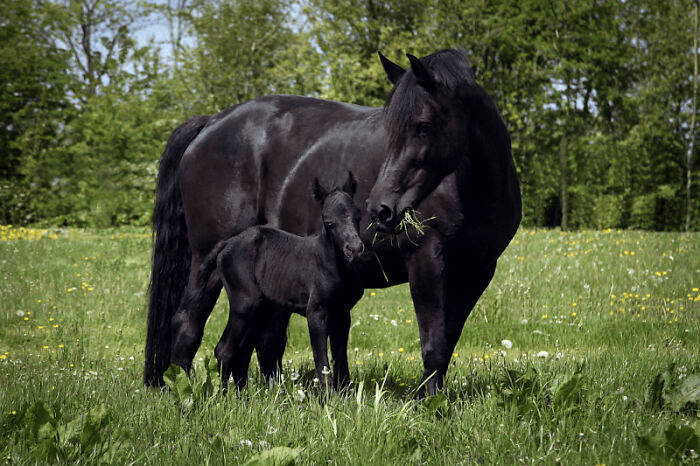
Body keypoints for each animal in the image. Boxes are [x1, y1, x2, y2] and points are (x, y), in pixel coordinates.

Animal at [193, 173, 366, 392]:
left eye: (358, 216)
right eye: (328, 222)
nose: (355, 249)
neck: (334, 265)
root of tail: (226, 244)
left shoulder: (342, 313)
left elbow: (340, 357)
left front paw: (345, 394)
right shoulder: (316, 312)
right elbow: (321, 358)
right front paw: (327, 395)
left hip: (262, 309)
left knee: (242, 351)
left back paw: (243, 397)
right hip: (245, 305)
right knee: (225, 350)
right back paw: (224, 396)